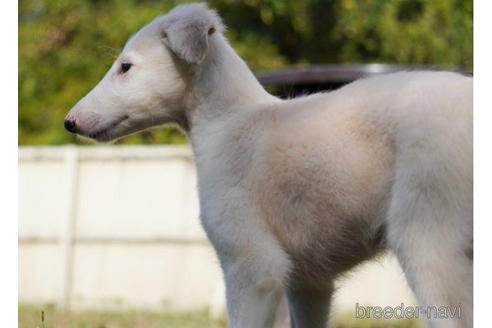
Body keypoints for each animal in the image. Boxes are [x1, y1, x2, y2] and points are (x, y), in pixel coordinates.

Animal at [62, 3, 472, 328]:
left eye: (125, 67)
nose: (70, 122)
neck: (229, 121)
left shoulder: (254, 266)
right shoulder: (307, 282)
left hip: (427, 236)